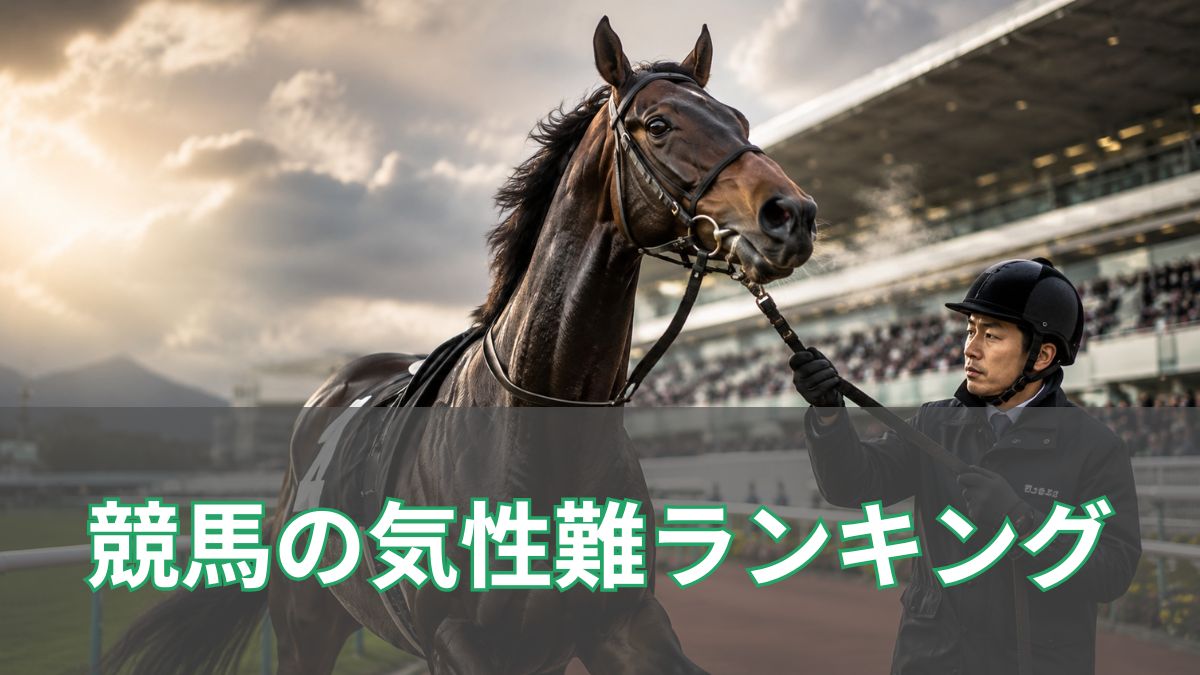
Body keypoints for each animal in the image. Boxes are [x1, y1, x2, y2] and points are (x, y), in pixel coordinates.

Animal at [103, 17, 817, 675]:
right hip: (306, 626)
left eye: (738, 117)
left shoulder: (618, 624)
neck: (539, 416)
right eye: (659, 124)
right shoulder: (458, 639)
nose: (793, 214)